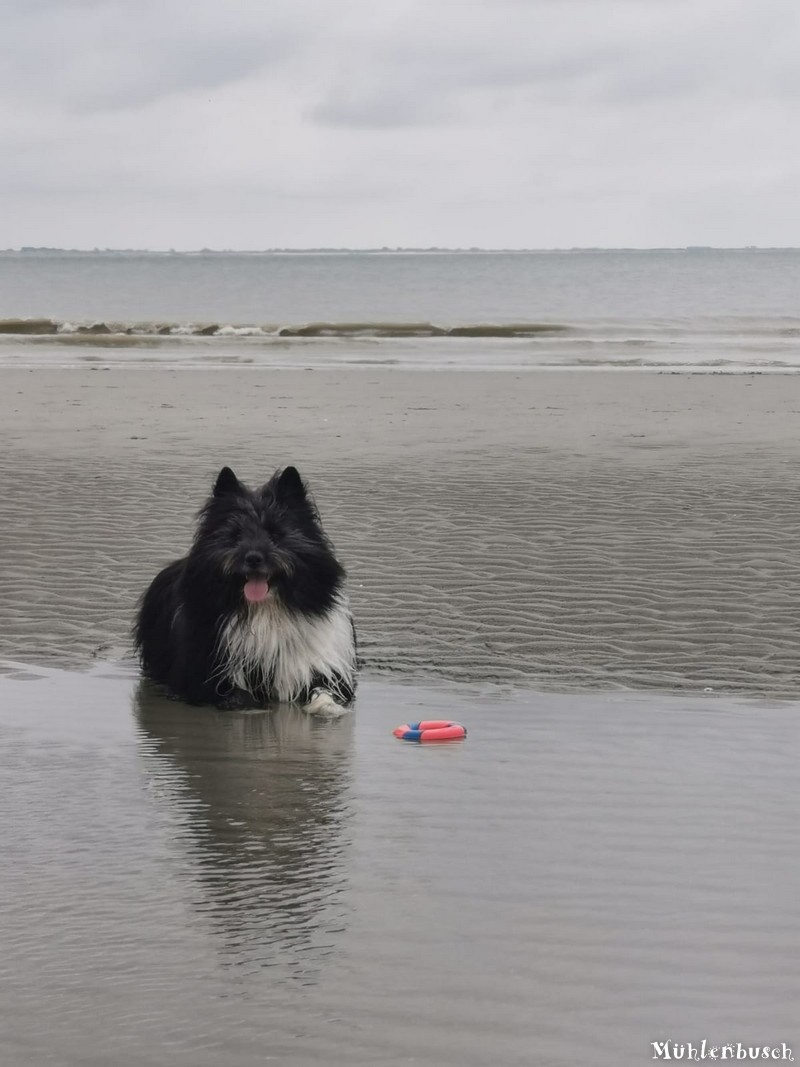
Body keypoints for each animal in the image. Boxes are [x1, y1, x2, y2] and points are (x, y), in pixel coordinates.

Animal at [134, 463, 356, 712]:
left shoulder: (320, 667)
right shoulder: (207, 675)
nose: (253, 558)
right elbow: (239, 695)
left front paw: (328, 707)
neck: (264, 610)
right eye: (236, 534)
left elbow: (323, 691)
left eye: (275, 534)